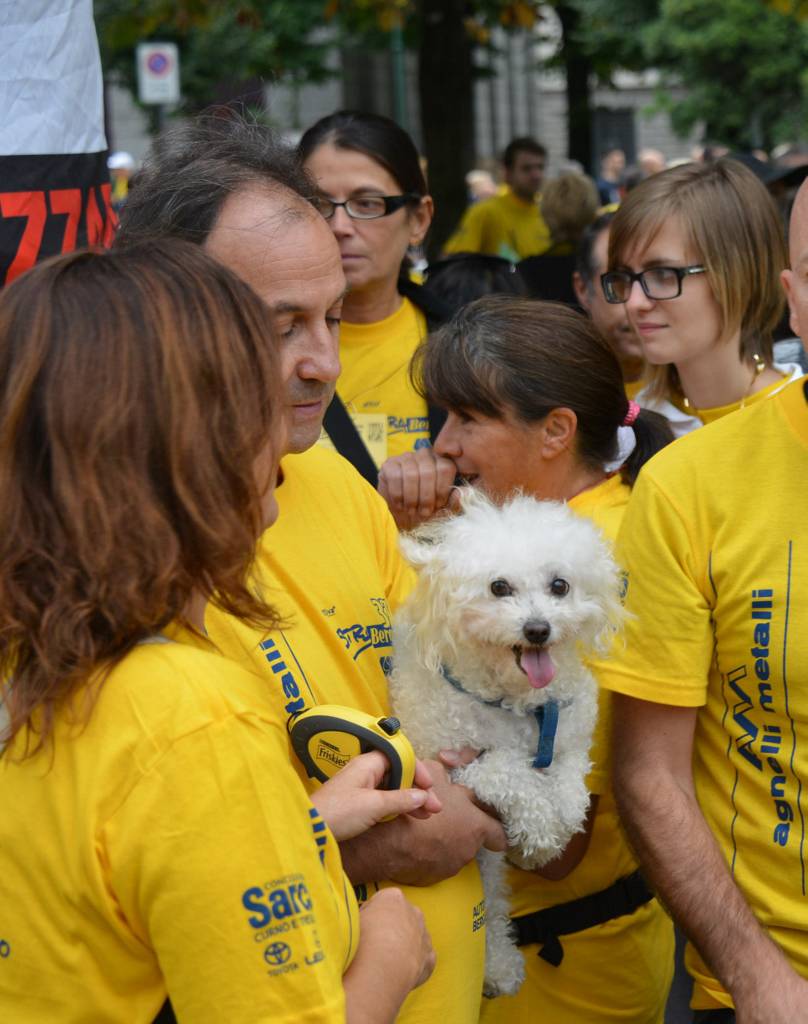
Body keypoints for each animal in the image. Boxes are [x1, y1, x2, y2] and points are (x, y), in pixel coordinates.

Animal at [387, 491, 622, 995]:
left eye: (560, 585)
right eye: (498, 587)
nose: (537, 629)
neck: (519, 706)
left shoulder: (569, 734)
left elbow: (570, 779)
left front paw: (562, 816)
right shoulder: (454, 762)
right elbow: (507, 771)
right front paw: (540, 829)